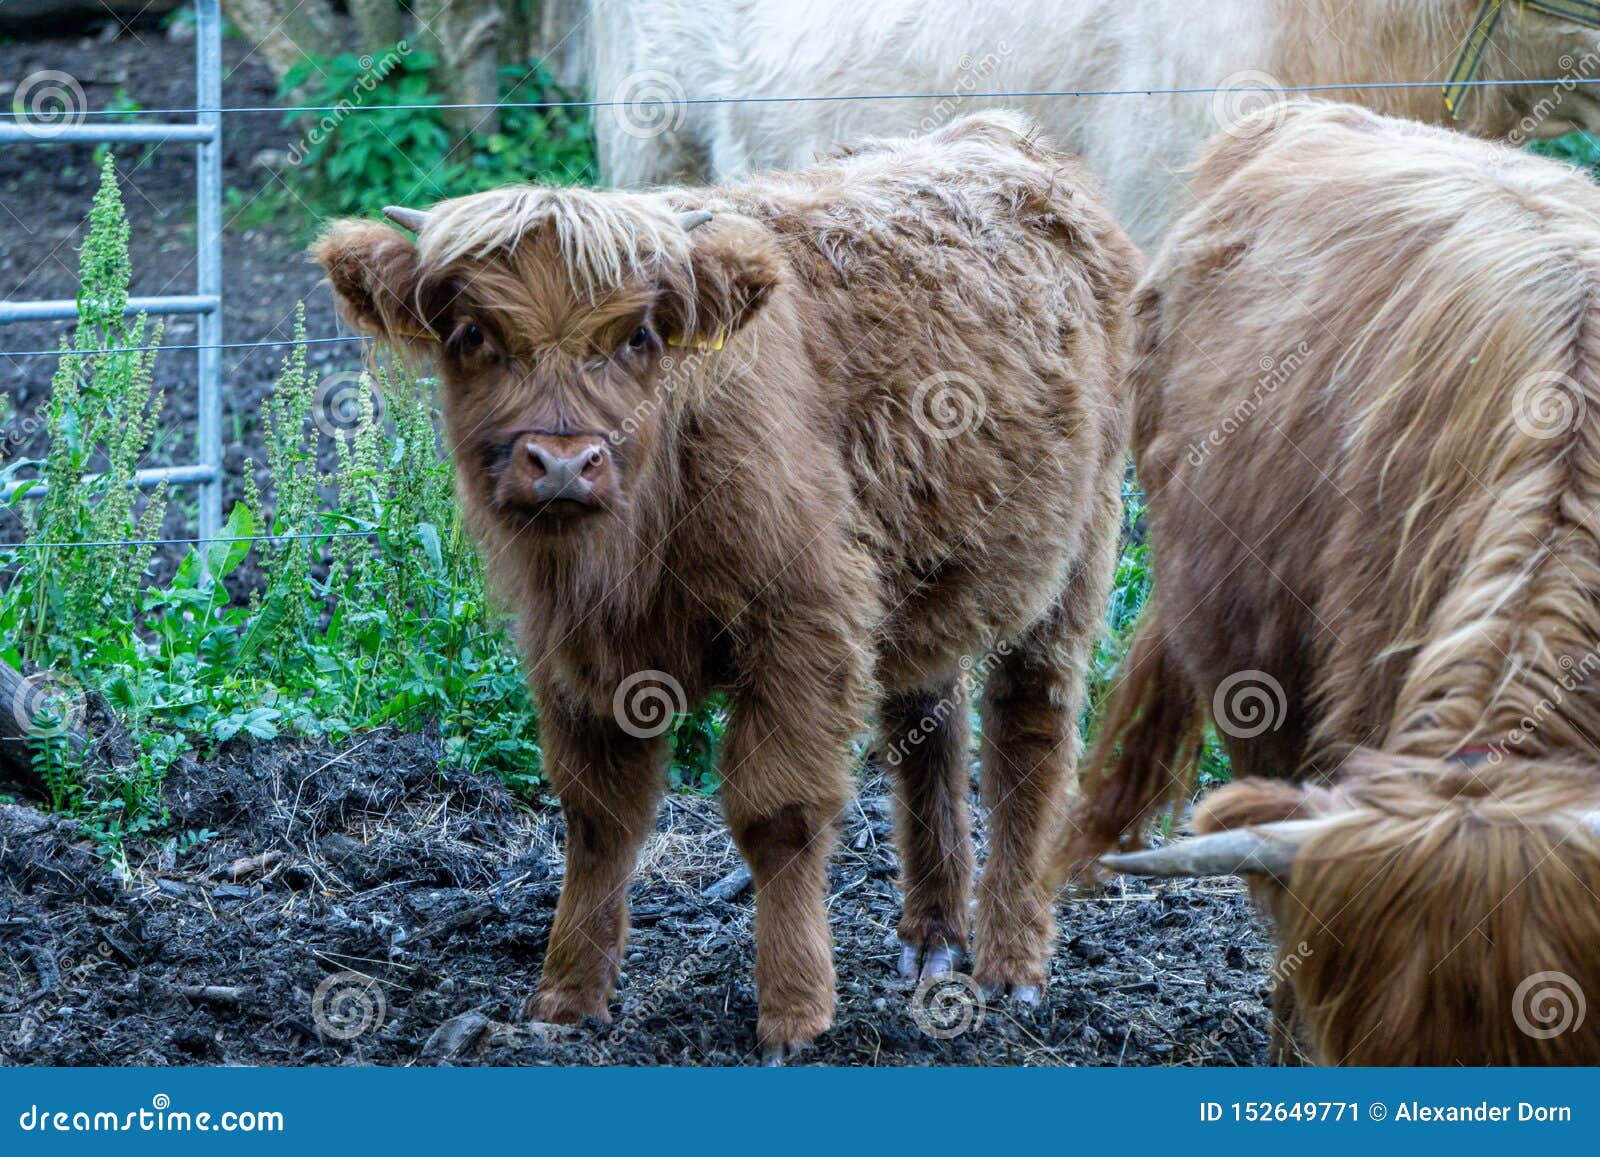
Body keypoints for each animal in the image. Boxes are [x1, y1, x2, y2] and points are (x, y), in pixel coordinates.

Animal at [312, 111, 1139, 1056]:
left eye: (636, 337)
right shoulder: (572, 649)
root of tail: (997, 135)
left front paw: (793, 1012)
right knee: (929, 727)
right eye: (474, 335)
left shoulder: (804, 624)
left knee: (1031, 734)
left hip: (1075, 555)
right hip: (925, 578)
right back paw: (934, 939)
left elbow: (777, 812)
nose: (561, 463)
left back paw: (1011, 961)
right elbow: (598, 815)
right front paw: (567, 996)